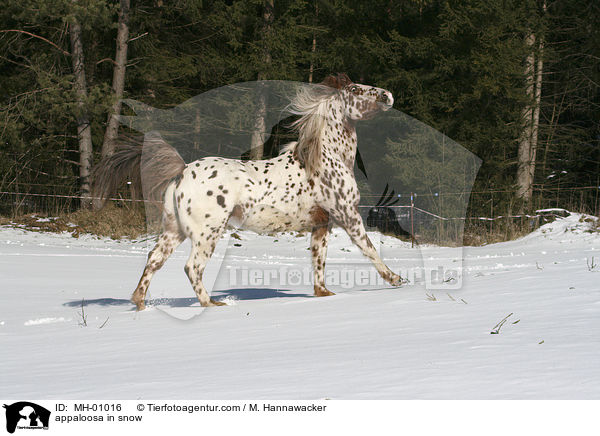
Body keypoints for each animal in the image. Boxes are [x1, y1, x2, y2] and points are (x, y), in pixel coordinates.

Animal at [92, 73, 404, 310]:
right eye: (355, 90)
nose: (388, 95)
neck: (325, 159)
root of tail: (183, 171)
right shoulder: (348, 215)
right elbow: (369, 249)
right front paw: (396, 279)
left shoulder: (321, 224)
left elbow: (319, 262)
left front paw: (324, 294)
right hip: (207, 233)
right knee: (192, 267)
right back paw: (211, 304)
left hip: (174, 230)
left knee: (154, 260)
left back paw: (140, 303)